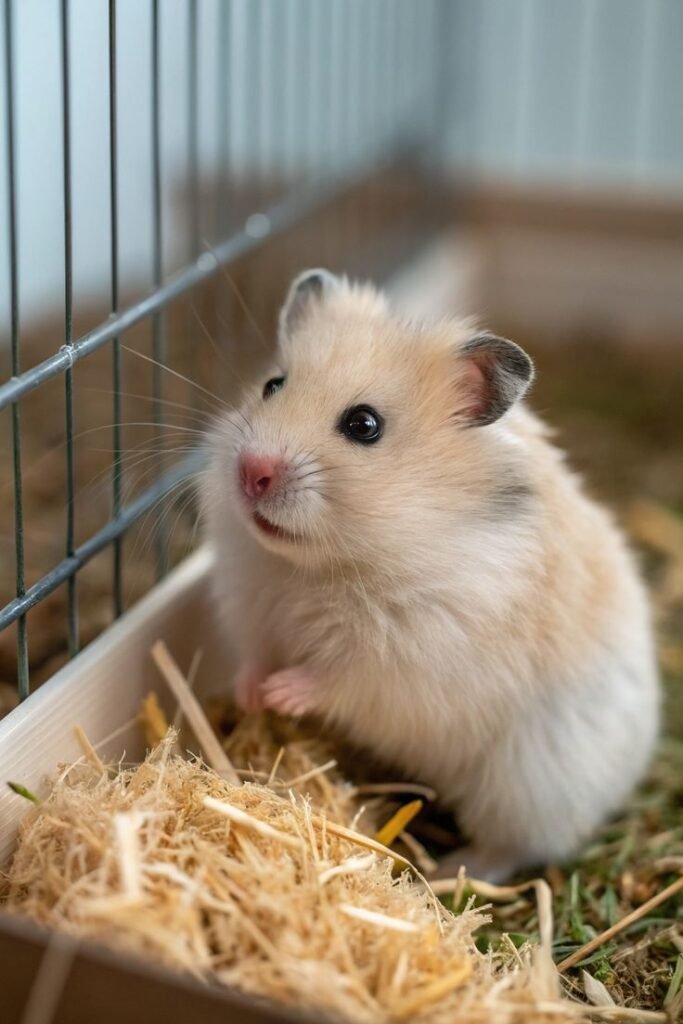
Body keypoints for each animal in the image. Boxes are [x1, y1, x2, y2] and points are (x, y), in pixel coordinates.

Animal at [201, 269, 659, 882]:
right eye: (273, 384)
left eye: (364, 425)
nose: (252, 472)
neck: (320, 566)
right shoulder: (253, 608)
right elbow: (255, 655)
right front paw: (251, 696)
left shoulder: (407, 658)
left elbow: (339, 679)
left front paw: (281, 695)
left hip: (526, 785)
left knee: (514, 847)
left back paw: (452, 872)